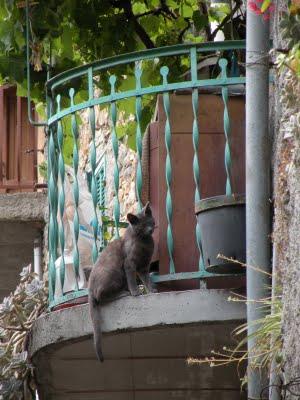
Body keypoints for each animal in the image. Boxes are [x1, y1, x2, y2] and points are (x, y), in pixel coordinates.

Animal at [88, 203, 156, 362]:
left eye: (150, 222)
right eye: (141, 226)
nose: (150, 230)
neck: (145, 242)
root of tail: (89, 288)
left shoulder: (144, 267)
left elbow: (147, 279)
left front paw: (152, 290)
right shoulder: (129, 264)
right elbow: (132, 279)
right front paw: (136, 292)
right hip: (115, 274)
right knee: (101, 296)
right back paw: (123, 294)